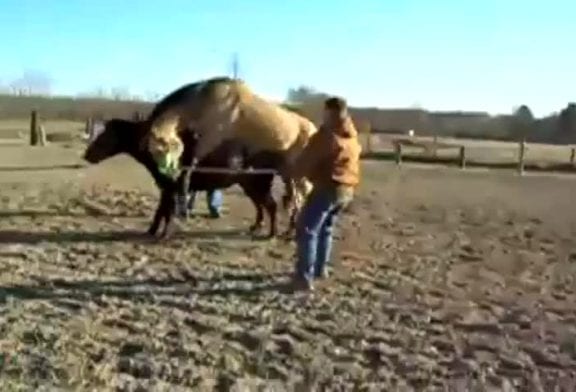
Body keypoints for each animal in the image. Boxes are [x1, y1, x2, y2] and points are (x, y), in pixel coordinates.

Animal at [142, 78, 318, 234]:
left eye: (166, 147)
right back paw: (288, 229)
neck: (201, 104)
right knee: (294, 198)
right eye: (154, 149)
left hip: (298, 175)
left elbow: (190, 167)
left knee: (300, 197)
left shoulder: (208, 140)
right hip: (288, 173)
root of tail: (313, 129)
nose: (165, 172)